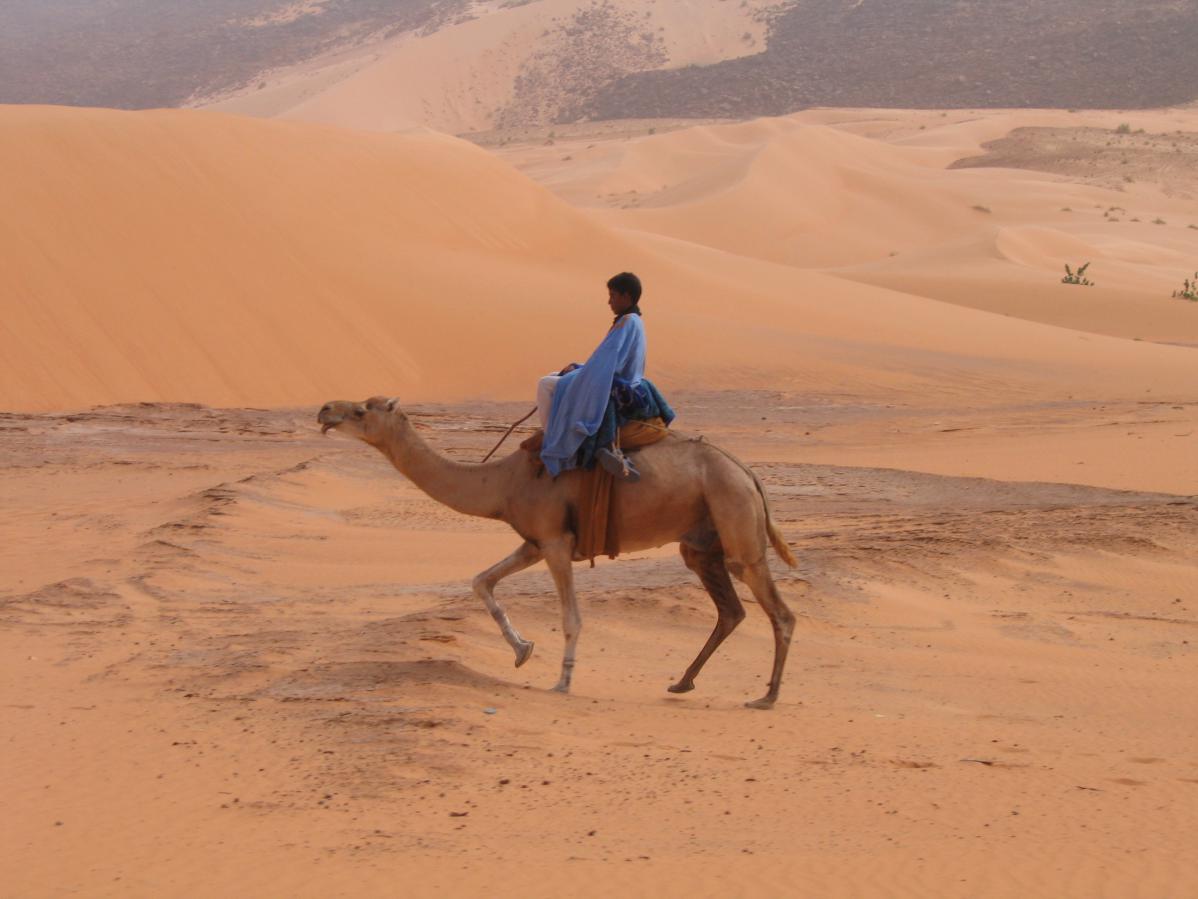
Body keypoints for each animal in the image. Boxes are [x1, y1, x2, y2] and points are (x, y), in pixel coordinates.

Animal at [318, 393, 795, 709]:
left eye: (361, 411)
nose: (324, 410)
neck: (501, 482)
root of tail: (748, 473)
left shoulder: (556, 542)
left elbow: (571, 618)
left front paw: (562, 682)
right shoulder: (533, 542)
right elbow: (481, 582)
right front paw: (522, 650)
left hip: (735, 517)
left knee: (777, 608)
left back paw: (768, 696)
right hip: (700, 542)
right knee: (730, 609)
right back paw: (682, 683)